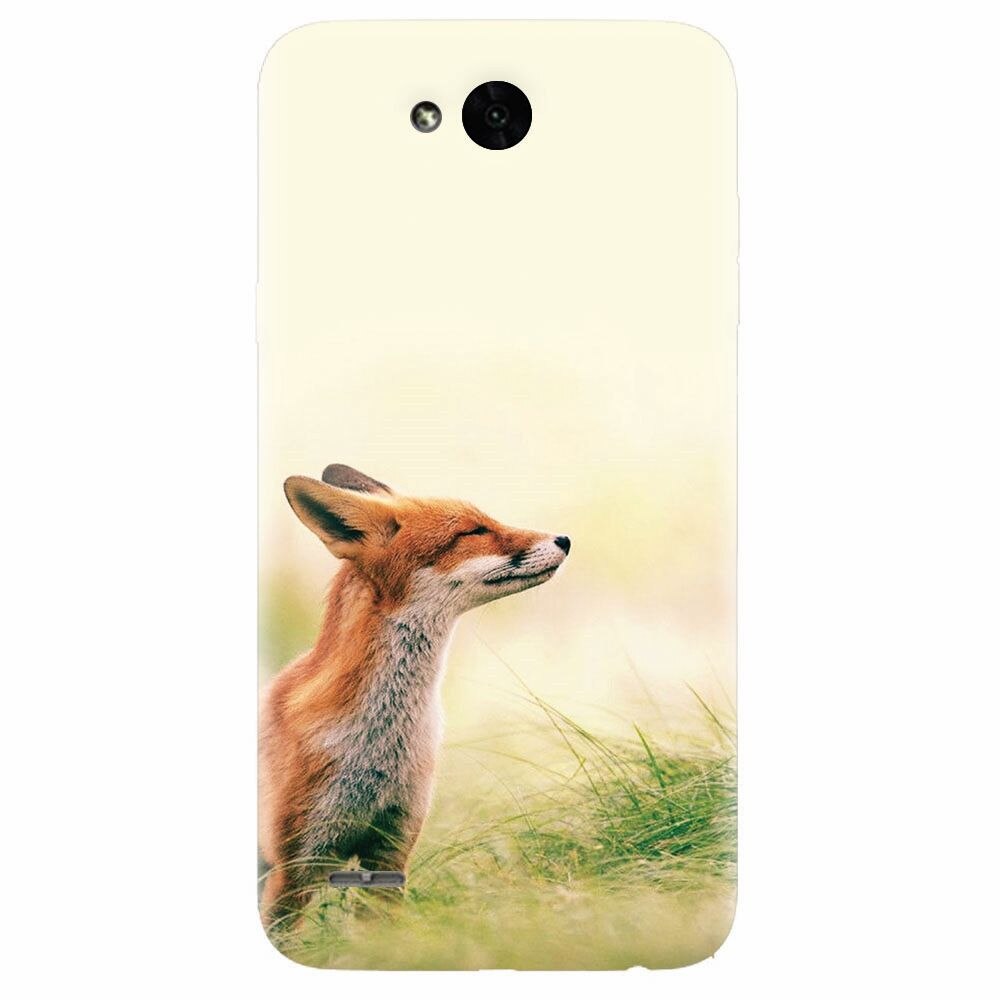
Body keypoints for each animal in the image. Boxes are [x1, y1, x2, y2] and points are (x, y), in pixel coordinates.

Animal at [259, 463, 570, 928]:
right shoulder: (294, 866)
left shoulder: (391, 850)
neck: (380, 746)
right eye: (473, 531)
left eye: (487, 519)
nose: (565, 539)